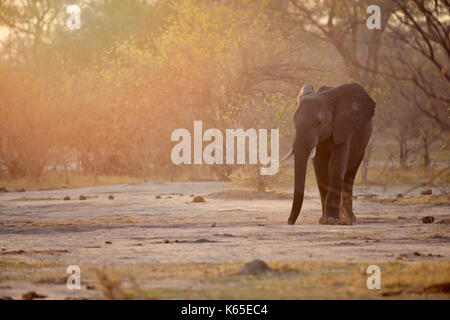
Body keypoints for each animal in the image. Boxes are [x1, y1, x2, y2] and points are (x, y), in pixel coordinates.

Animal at [284, 84, 374, 226]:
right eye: (294, 121)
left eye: (319, 122)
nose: (289, 222)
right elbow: (320, 168)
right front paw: (323, 220)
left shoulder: (343, 127)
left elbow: (336, 165)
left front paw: (331, 220)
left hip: (362, 145)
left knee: (350, 175)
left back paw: (349, 219)